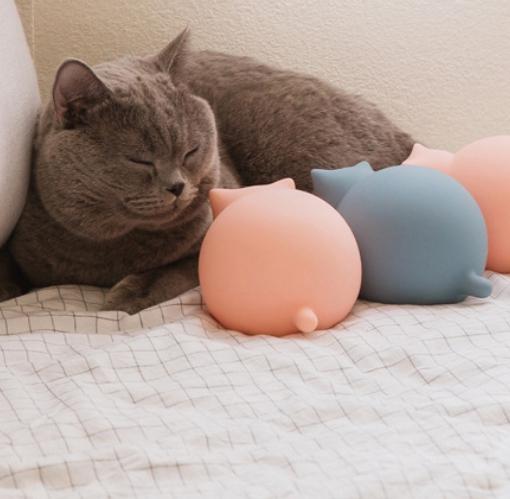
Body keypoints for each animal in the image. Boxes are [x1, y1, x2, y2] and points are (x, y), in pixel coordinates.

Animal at [0, 29, 414, 314]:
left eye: (190, 151)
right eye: (140, 159)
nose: (177, 187)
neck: (109, 250)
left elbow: (187, 265)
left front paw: (134, 292)